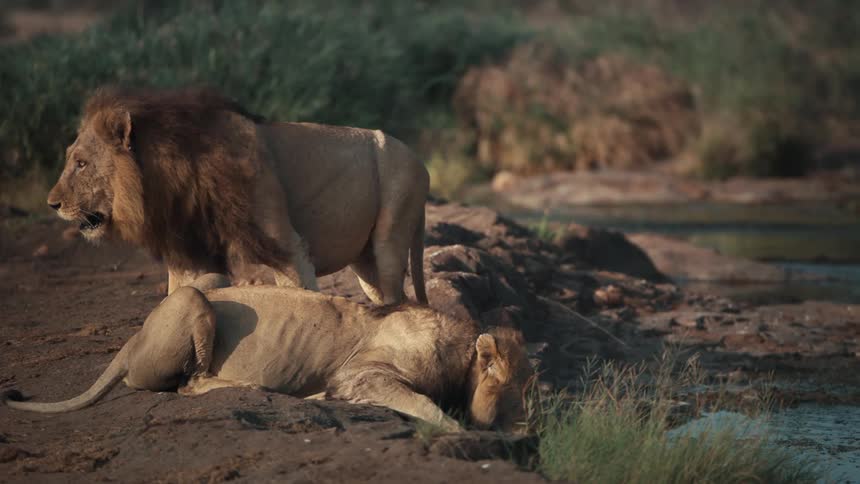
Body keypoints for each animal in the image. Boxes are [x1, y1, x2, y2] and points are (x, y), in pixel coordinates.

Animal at [3, 275, 534, 433]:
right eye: (514, 393)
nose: (530, 427)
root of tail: (130, 341)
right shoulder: (360, 375)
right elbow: (430, 409)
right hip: (192, 297)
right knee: (190, 383)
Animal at [46, 87, 429, 305]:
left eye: (81, 163)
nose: (52, 204)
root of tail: (421, 163)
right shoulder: (189, 250)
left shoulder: (285, 243)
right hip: (364, 260)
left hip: (392, 230)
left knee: (398, 296)